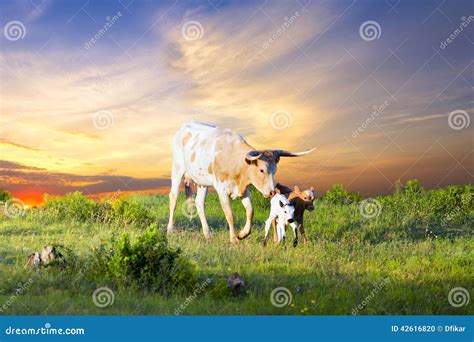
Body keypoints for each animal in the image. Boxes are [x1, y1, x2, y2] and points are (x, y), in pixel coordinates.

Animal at [167, 121, 314, 242]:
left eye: (275, 170)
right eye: (261, 170)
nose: (272, 192)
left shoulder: (244, 190)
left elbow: (250, 211)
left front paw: (243, 234)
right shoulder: (221, 189)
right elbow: (230, 215)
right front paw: (233, 239)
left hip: (202, 181)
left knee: (199, 203)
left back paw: (207, 233)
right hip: (177, 169)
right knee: (173, 198)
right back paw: (169, 230)